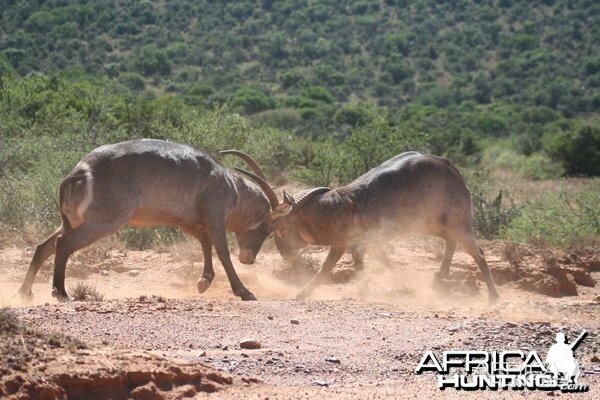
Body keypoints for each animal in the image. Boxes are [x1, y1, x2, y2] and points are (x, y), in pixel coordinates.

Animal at [17, 139, 278, 302]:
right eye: (269, 229)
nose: (249, 259)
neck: (230, 183)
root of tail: (78, 173)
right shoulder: (214, 216)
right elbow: (222, 251)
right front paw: (244, 292)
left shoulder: (189, 222)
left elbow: (205, 243)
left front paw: (204, 281)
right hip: (104, 222)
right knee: (63, 243)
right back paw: (60, 293)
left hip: (73, 221)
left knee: (43, 246)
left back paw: (25, 293)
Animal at [237, 152, 500, 304]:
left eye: (277, 228)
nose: (285, 254)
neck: (343, 205)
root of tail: (453, 171)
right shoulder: (344, 243)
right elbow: (344, 264)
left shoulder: (358, 241)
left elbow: (342, 263)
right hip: (433, 225)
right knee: (450, 242)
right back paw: (438, 279)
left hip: (457, 224)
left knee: (478, 253)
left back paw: (493, 297)